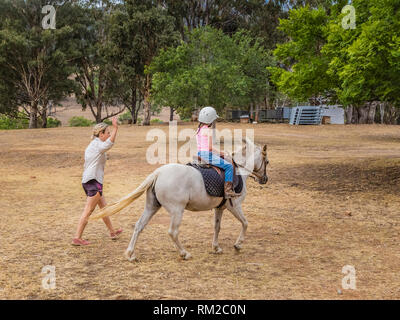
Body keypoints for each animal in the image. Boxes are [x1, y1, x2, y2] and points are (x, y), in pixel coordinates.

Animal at [90, 139, 268, 262]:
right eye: (266, 161)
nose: (265, 179)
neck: (239, 170)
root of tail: (158, 173)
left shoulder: (219, 209)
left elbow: (217, 228)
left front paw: (216, 247)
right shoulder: (234, 206)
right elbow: (245, 223)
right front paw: (238, 245)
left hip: (152, 207)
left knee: (139, 226)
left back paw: (130, 254)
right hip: (177, 211)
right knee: (173, 232)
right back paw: (184, 253)